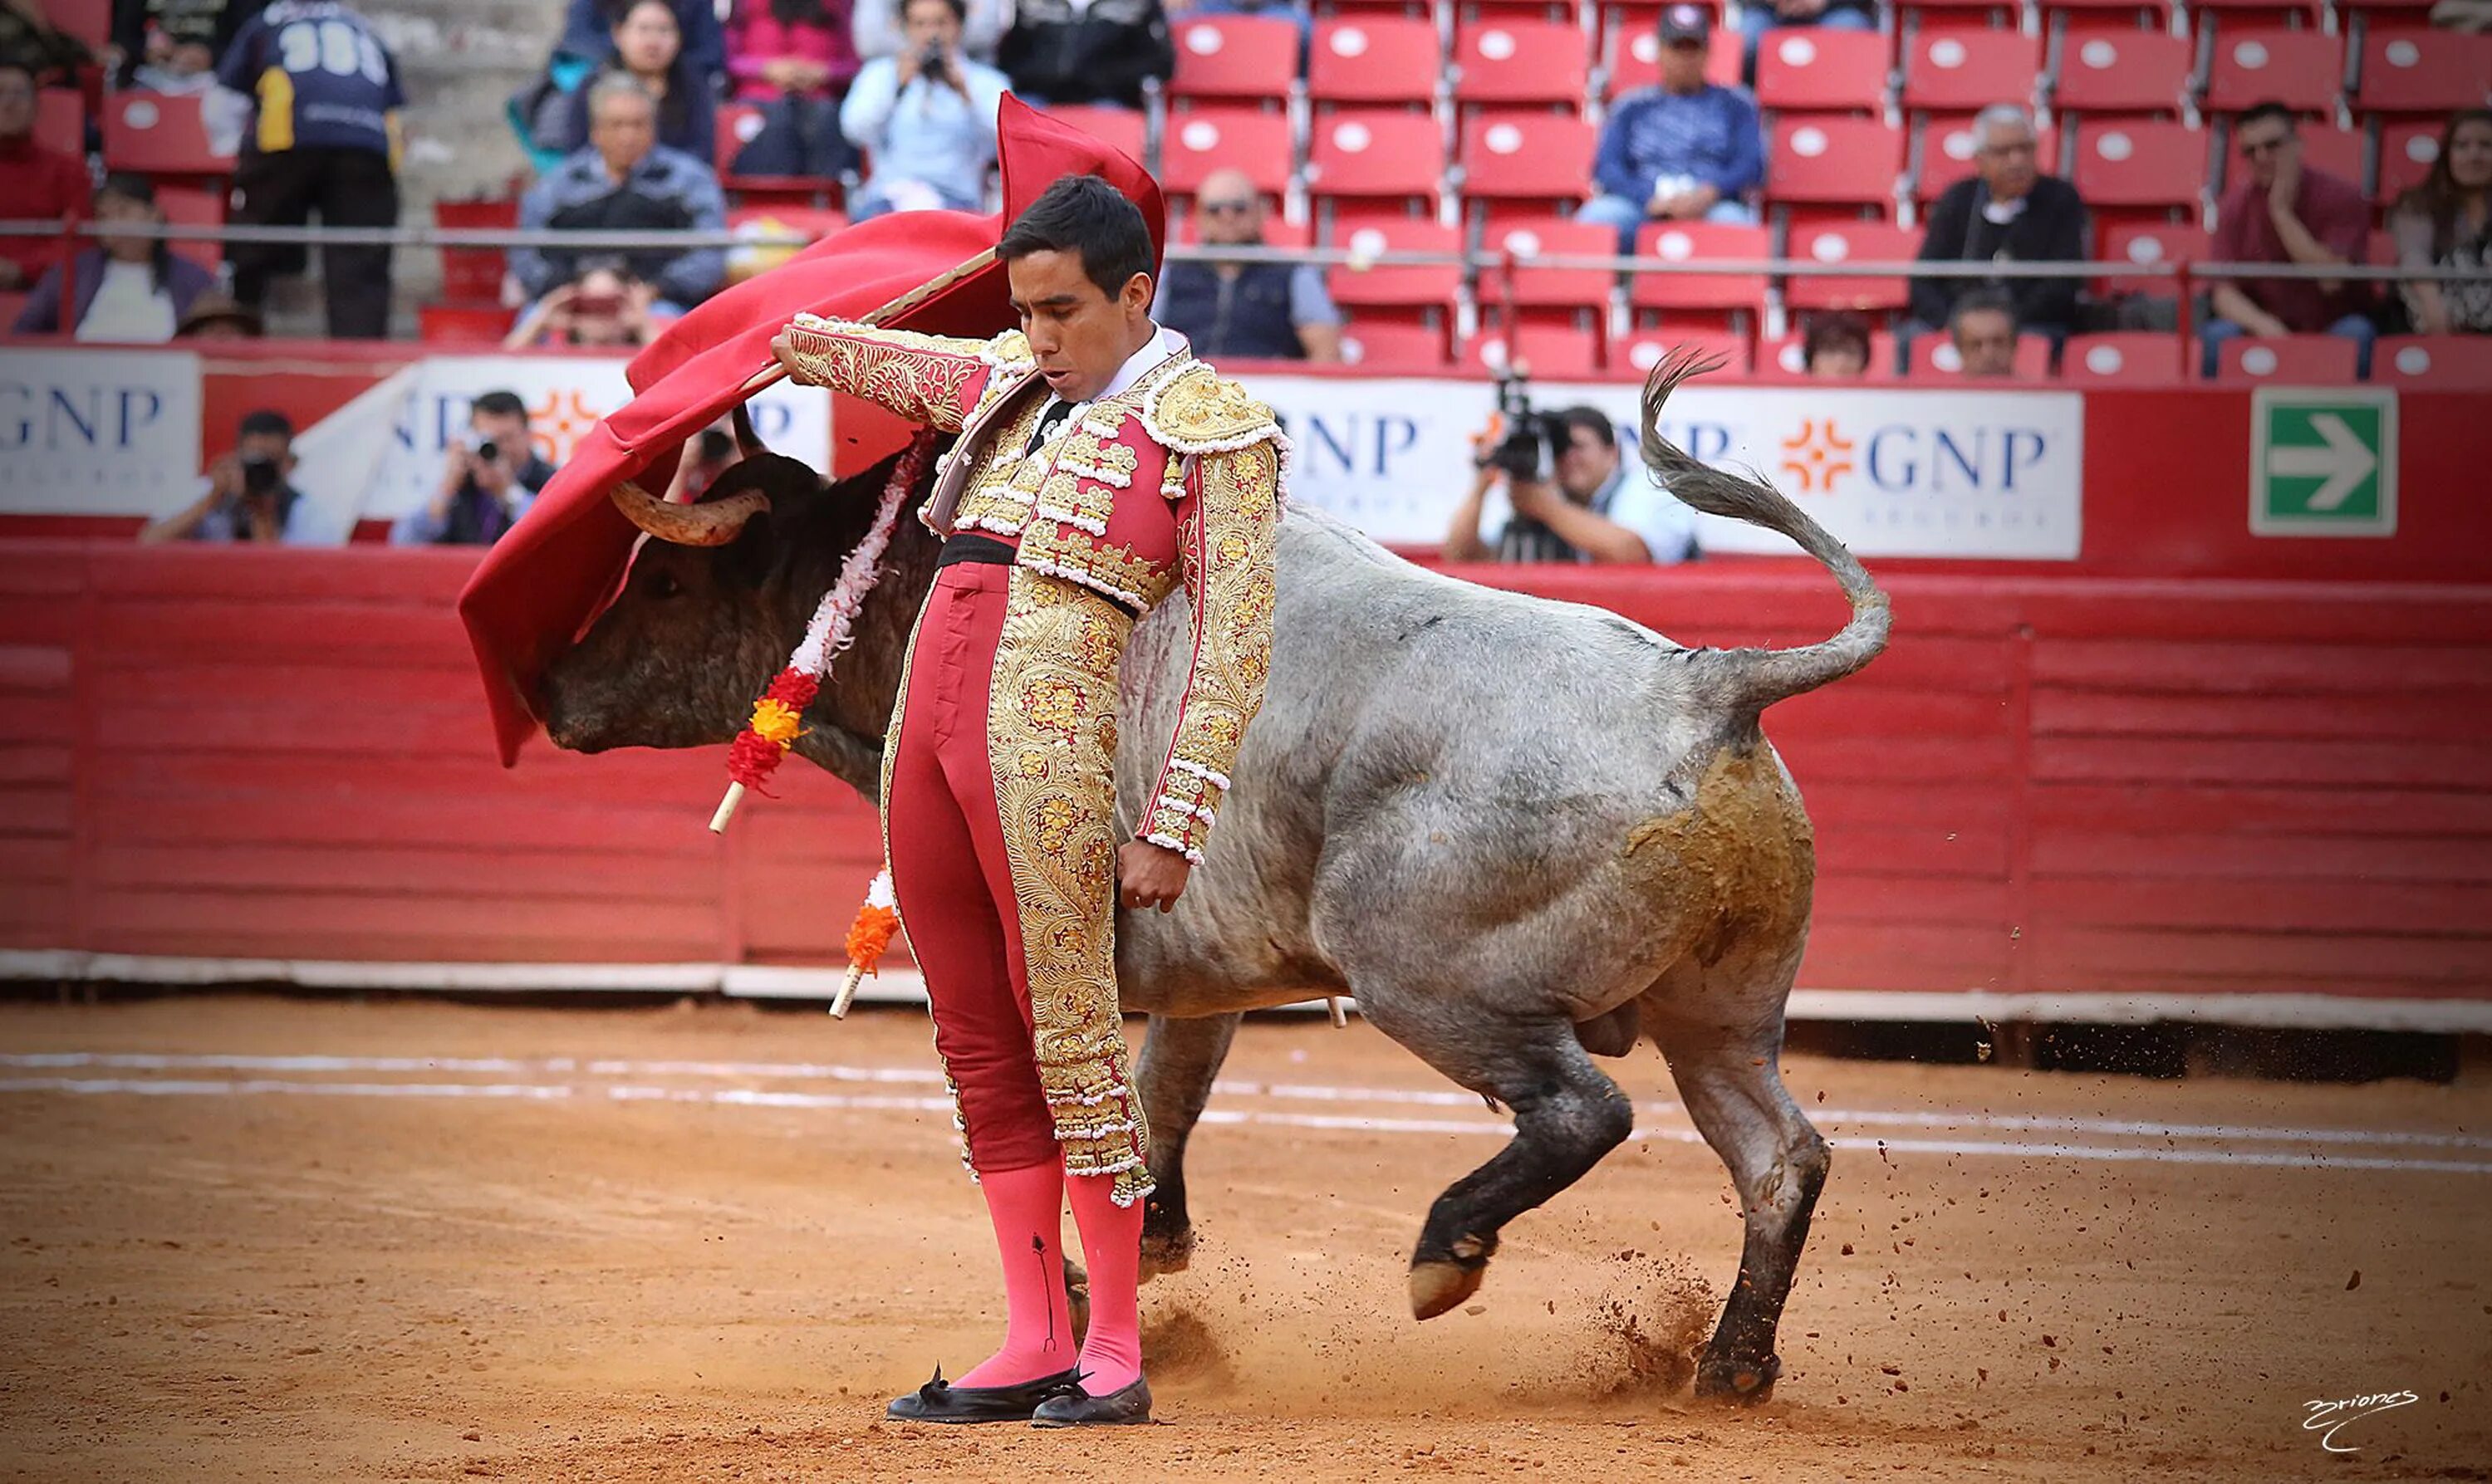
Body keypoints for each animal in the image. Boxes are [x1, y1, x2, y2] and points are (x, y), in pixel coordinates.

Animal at [546, 358, 1884, 1404]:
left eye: (663, 582)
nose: (553, 691)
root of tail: (1710, 685)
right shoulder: (1201, 965)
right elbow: (1164, 1095)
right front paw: (1151, 1246)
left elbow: (1086, 1111)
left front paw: (1084, 1287)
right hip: (1720, 1013)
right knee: (1780, 1157)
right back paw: (1730, 1365)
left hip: (1430, 978)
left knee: (1583, 1110)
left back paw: (1445, 1251)